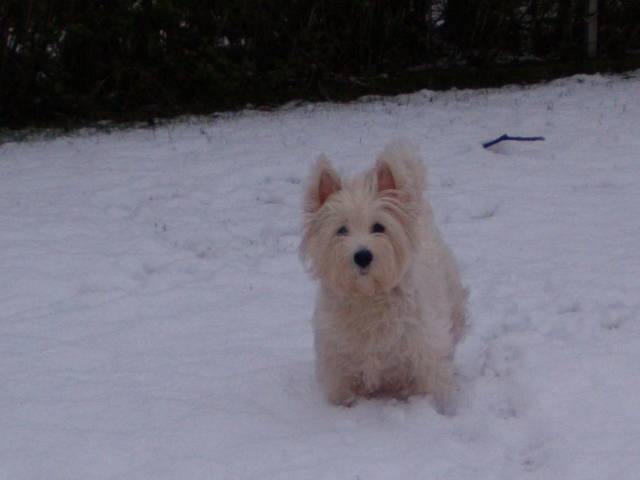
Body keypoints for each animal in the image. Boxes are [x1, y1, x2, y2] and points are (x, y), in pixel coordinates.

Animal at [300, 142, 467, 412]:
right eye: (341, 230)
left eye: (379, 227)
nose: (363, 256)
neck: (368, 296)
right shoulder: (337, 361)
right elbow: (342, 393)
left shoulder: (424, 350)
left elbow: (430, 383)